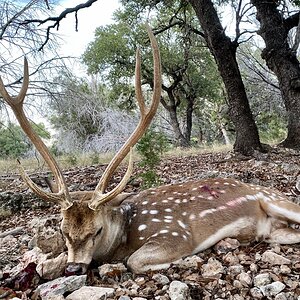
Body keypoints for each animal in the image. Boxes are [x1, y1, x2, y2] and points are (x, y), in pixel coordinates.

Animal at [0, 25, 300, 274]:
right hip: (274, 230)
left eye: (97, 231)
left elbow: (135, 261)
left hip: (274, 199)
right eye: (62, 230)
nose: (74, 269)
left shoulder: (176, 234)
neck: (125, 232)